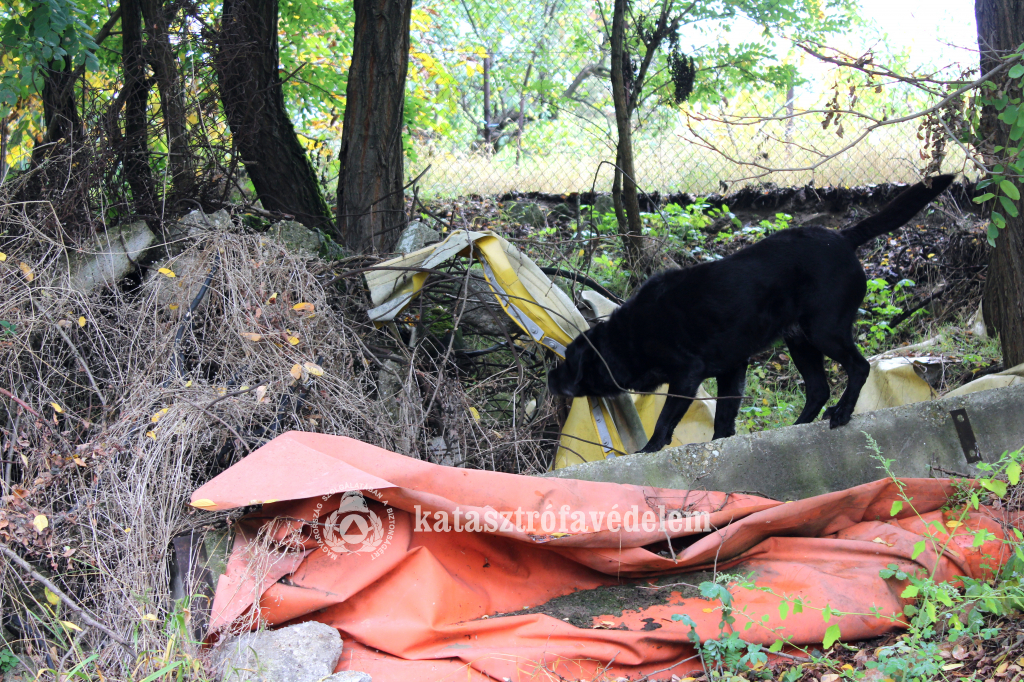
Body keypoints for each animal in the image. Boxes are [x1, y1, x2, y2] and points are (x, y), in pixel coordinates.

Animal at [548, 174, 954, 450]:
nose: (551, 377)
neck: (628, 337)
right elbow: (724, 420)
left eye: (568, 360)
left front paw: (649, 450)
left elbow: (665, 421)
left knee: (859, 366)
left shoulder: (686, 375)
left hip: (824, 330)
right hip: (799, 340)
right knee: (818, 388)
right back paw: (797, 427)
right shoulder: (732, 368)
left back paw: (841, 413)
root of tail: (842, 236)